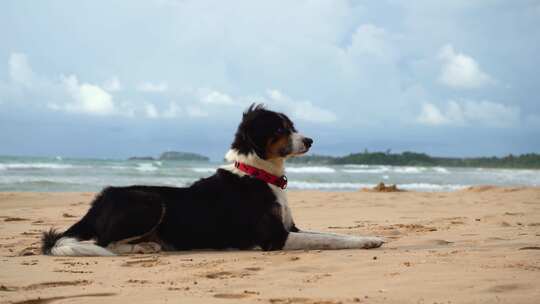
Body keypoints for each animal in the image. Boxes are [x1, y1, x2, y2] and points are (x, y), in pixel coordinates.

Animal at [43, 104, 384, 256]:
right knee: (104, 242)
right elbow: (329, 239)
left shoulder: (291, 228)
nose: (310, 141)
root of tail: (98, 201)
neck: (259, 174)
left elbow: (332, 233)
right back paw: (143, 247)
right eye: (279, 129)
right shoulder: (274, 238)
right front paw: (364, 242)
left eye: (293, 126)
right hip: (150, 201)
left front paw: (369, 238)